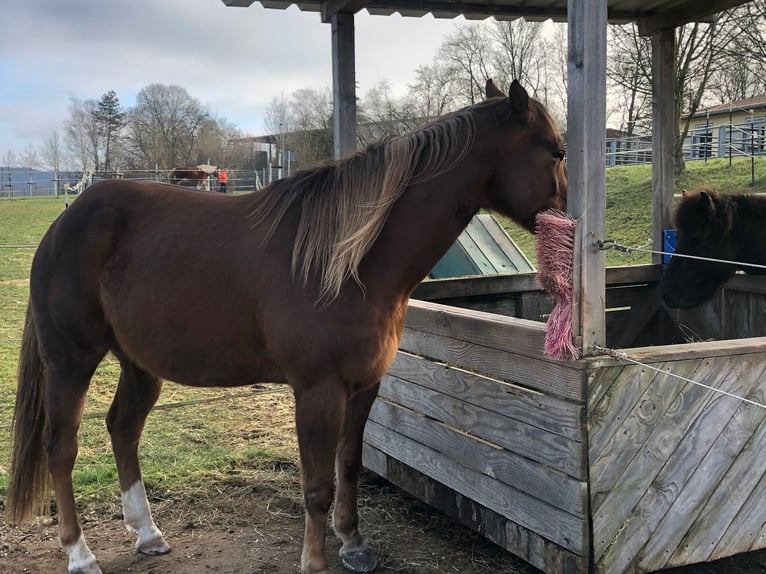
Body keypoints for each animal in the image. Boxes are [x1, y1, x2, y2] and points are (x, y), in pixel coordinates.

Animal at [7, 80, 568, 574]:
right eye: (557, 152)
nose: (573, 223)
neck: (351, 262)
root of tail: (64, 223)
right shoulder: (318, 390)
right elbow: (316, 484)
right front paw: (315, 561)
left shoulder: (364, 386)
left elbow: (349, 465)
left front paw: (354, 544)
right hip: (71, 361)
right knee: (60, 446)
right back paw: (80, 554)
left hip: (140, 364)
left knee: (123, 428)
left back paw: (147, 534)